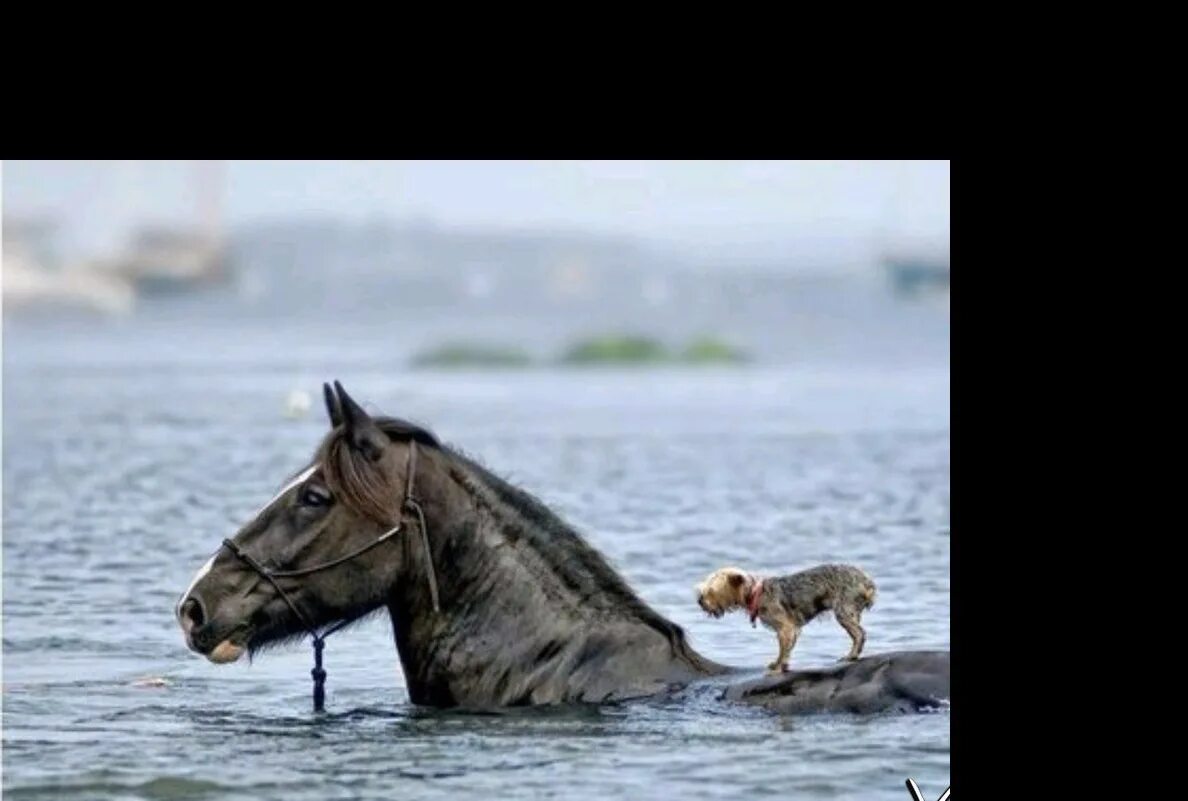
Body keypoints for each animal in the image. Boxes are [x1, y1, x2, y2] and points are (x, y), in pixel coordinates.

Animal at [693, 560, 879, 675]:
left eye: (711, 591)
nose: (700, 600)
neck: (755, 593)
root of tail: (868, 582)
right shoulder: (791, 630)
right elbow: (787, 649)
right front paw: (780, 665)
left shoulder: (785, 627)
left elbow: (783, 649)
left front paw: (777, 668)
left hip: (844, 609)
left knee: (859, 634)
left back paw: (851, 656)